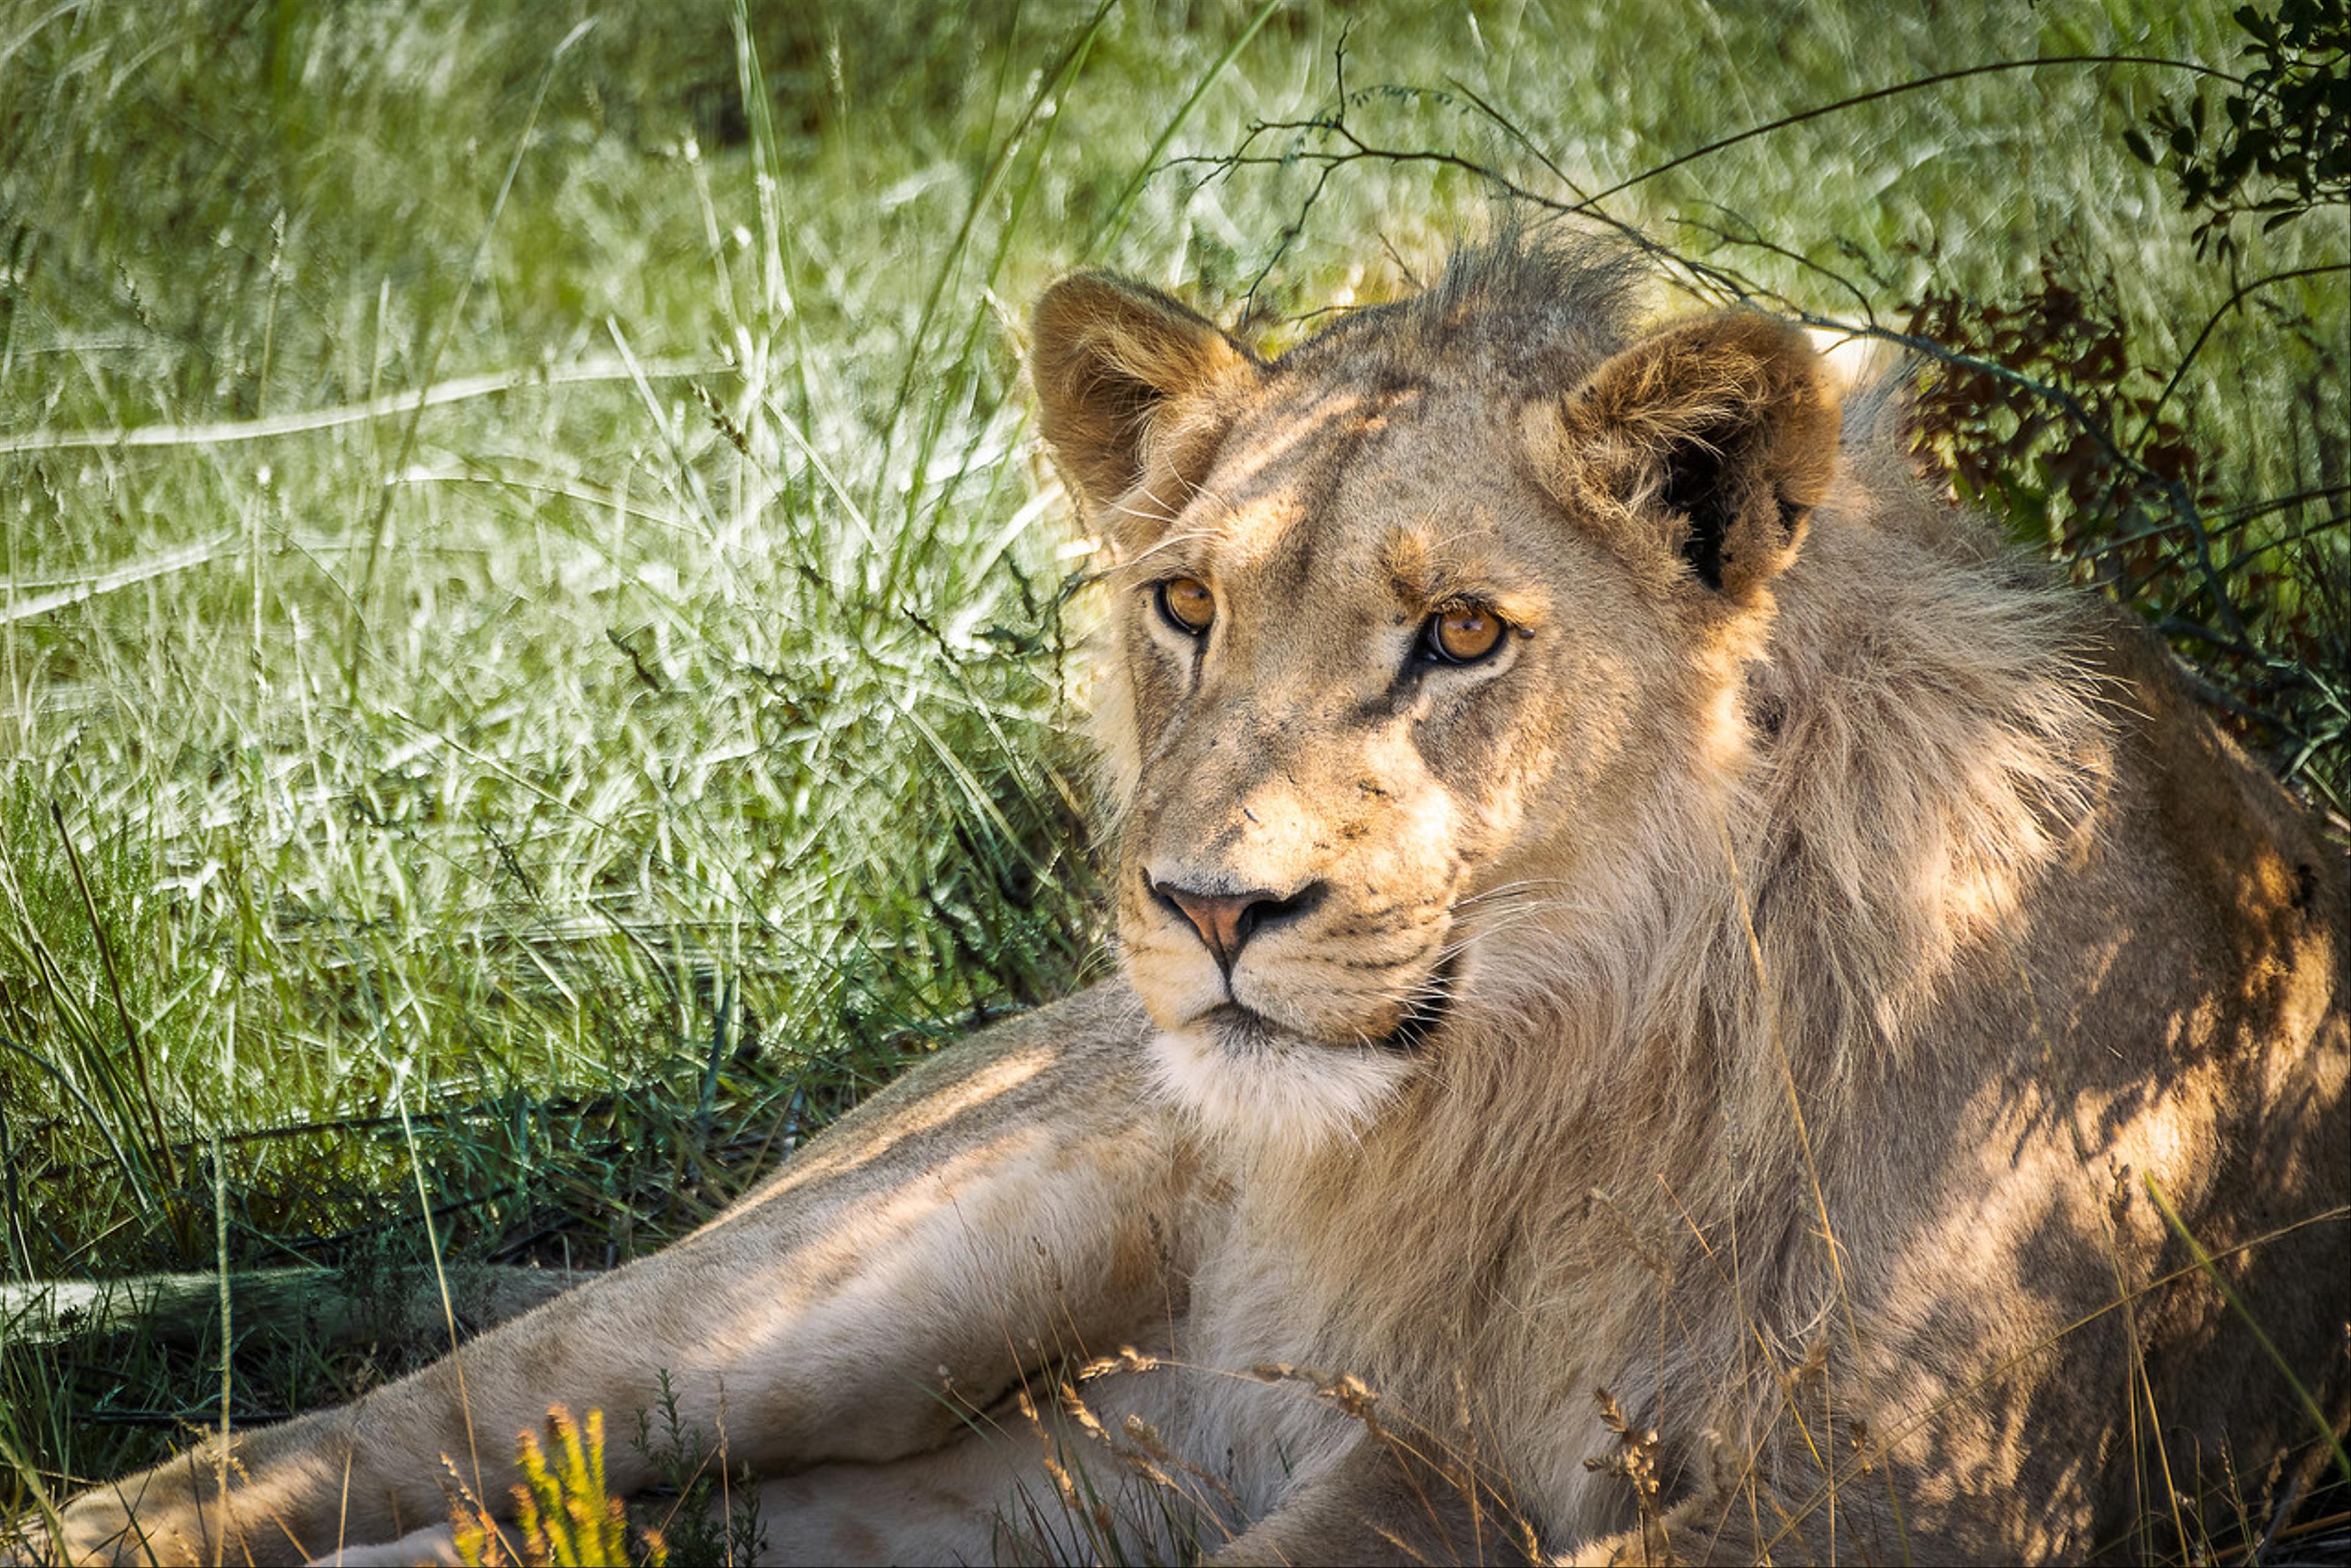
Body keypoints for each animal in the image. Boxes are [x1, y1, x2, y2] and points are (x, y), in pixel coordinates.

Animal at [23, 236, 2351, 1568]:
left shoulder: (1861, 1494)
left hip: (1009, 1478)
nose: (1209, 911)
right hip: (847, 1272)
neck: (1595, 1067)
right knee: (293, 1455)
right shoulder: (1445, 1449)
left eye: (1463, 638)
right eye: (1187, 609)